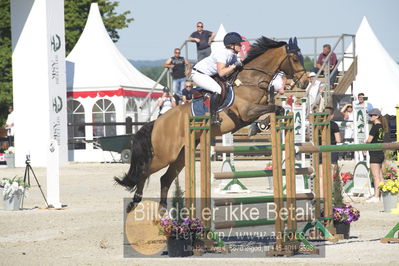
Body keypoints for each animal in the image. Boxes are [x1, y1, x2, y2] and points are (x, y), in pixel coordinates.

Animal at [115, 36, 310, 211]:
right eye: (294, 59)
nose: (305, 82)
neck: (251, 80)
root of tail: (157, 122)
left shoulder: (255, 110)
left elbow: (277, 109)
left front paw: (260, 126)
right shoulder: (247, 111)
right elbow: (274, 108)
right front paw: (259, 126)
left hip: (181, 155)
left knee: (165, 179)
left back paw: (163, 209)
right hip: (165, 155)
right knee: (144, 172)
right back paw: (135, 202)